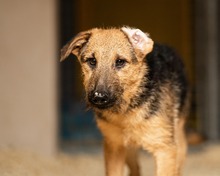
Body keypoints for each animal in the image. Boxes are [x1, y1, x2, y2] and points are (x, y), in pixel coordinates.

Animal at [60, 26, 189, 176]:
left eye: (120, 62)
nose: (99, 97)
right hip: (128, 150)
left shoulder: (165, 149)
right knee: (135, 170)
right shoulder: (114, 145)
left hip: (179, 143)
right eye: (92, 61)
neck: (129, 108)